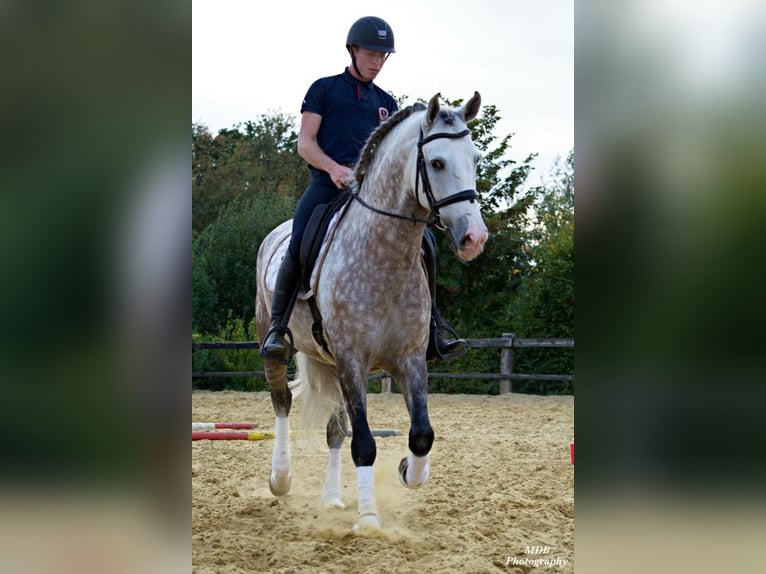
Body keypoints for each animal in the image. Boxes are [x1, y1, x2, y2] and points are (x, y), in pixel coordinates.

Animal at [255, 92, 489, 530]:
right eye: (437, 163)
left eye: (476, 158)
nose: (474, 238)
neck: (385, 255)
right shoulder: (352, 359)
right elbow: (363, 444)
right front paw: (367, 519)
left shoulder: (410, 358)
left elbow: (421, 434)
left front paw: (409, 471)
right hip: (276, 343)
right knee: (282, 402)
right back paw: (280, 478)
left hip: (328, 362)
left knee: (334, 429)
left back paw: (331, 498)